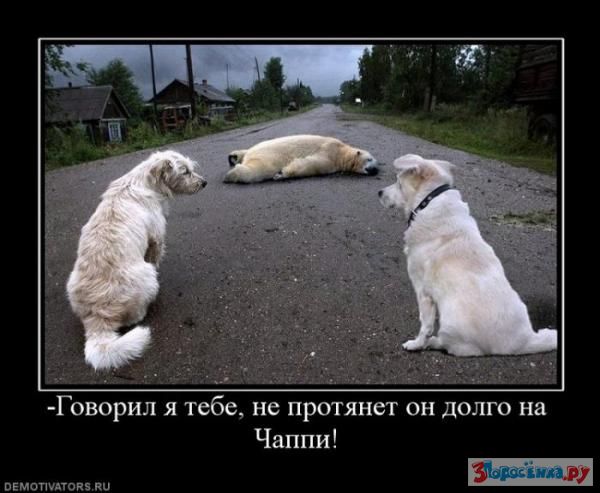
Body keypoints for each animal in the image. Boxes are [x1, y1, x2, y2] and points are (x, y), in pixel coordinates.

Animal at [66, 150, 207, 370]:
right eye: (185, 171)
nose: (204, 183)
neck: (142, 182)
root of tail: (97, 317)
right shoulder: (156, 239)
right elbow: (154, 259)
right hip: (146, 277)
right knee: (136, 316)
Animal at [223, 134, 381, 183]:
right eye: (370, 159)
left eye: (377, 164)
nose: (375, 170)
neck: (343, 151)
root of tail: (251, 152)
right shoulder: (330, 152)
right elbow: (314, 165)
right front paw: (281, 174)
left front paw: (281, 174)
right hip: (266, 157)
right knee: (258, 170)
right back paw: (231, 175)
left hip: (251, 150)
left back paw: (233, 157)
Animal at [378, 154, 557, 356]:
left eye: (398, 183)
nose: (379, 192)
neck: (428, 202)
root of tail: (524, 342)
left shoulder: (423, 291)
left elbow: (425, 324)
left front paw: (416, 344)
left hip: (450, 323)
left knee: (455, 346)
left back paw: (432, 342)